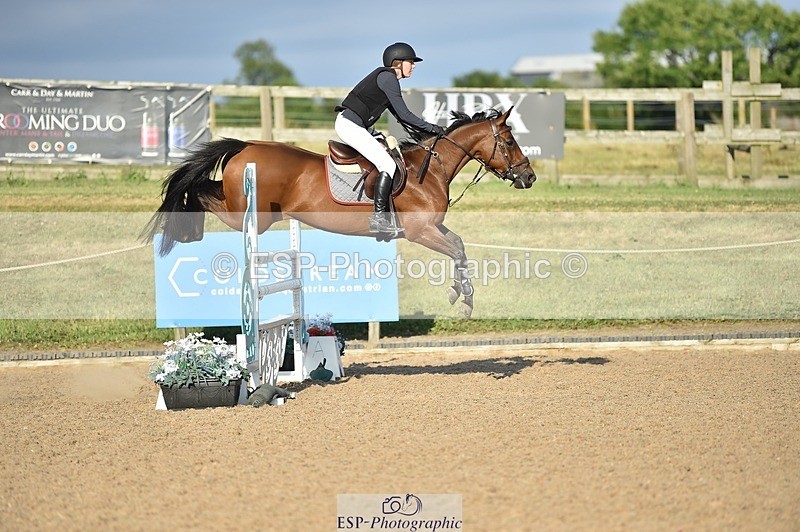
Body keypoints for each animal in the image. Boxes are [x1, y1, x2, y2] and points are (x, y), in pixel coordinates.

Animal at [144, 107, 536, 318]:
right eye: (510, 140)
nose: (529, 177)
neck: (430, 168)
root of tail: (246, 145)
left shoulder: (433, 228)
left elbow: (460, 247)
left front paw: (460, 293)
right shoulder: (420, 231)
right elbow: (455, 248)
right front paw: (464, 298)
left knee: (202, 188)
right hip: (249, 213)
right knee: (199, 192)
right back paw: (184, 230)